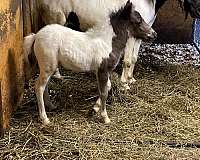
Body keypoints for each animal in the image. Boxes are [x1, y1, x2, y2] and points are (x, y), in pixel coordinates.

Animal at [24, 1, 157, 125]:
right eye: (138, 21)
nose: (154, 34)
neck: (107, 42)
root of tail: (36, 36)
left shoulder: (103, 71)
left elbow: (108, 87)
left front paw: (95, 109)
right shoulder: (102, 70)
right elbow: (103, 92)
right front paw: (105, 117)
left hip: (48, 67)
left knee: (45, 86)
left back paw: (51, 106)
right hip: (48, 66)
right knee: (39, 87)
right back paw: (44, 118)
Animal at [37, 0, 200, 88]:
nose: (198, 12)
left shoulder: (139, 36)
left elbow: (133, 59)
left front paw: (131, 79)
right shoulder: (131, 36)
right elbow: (127, 60)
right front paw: (124, 84)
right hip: (56, 20)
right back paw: (58, 76)